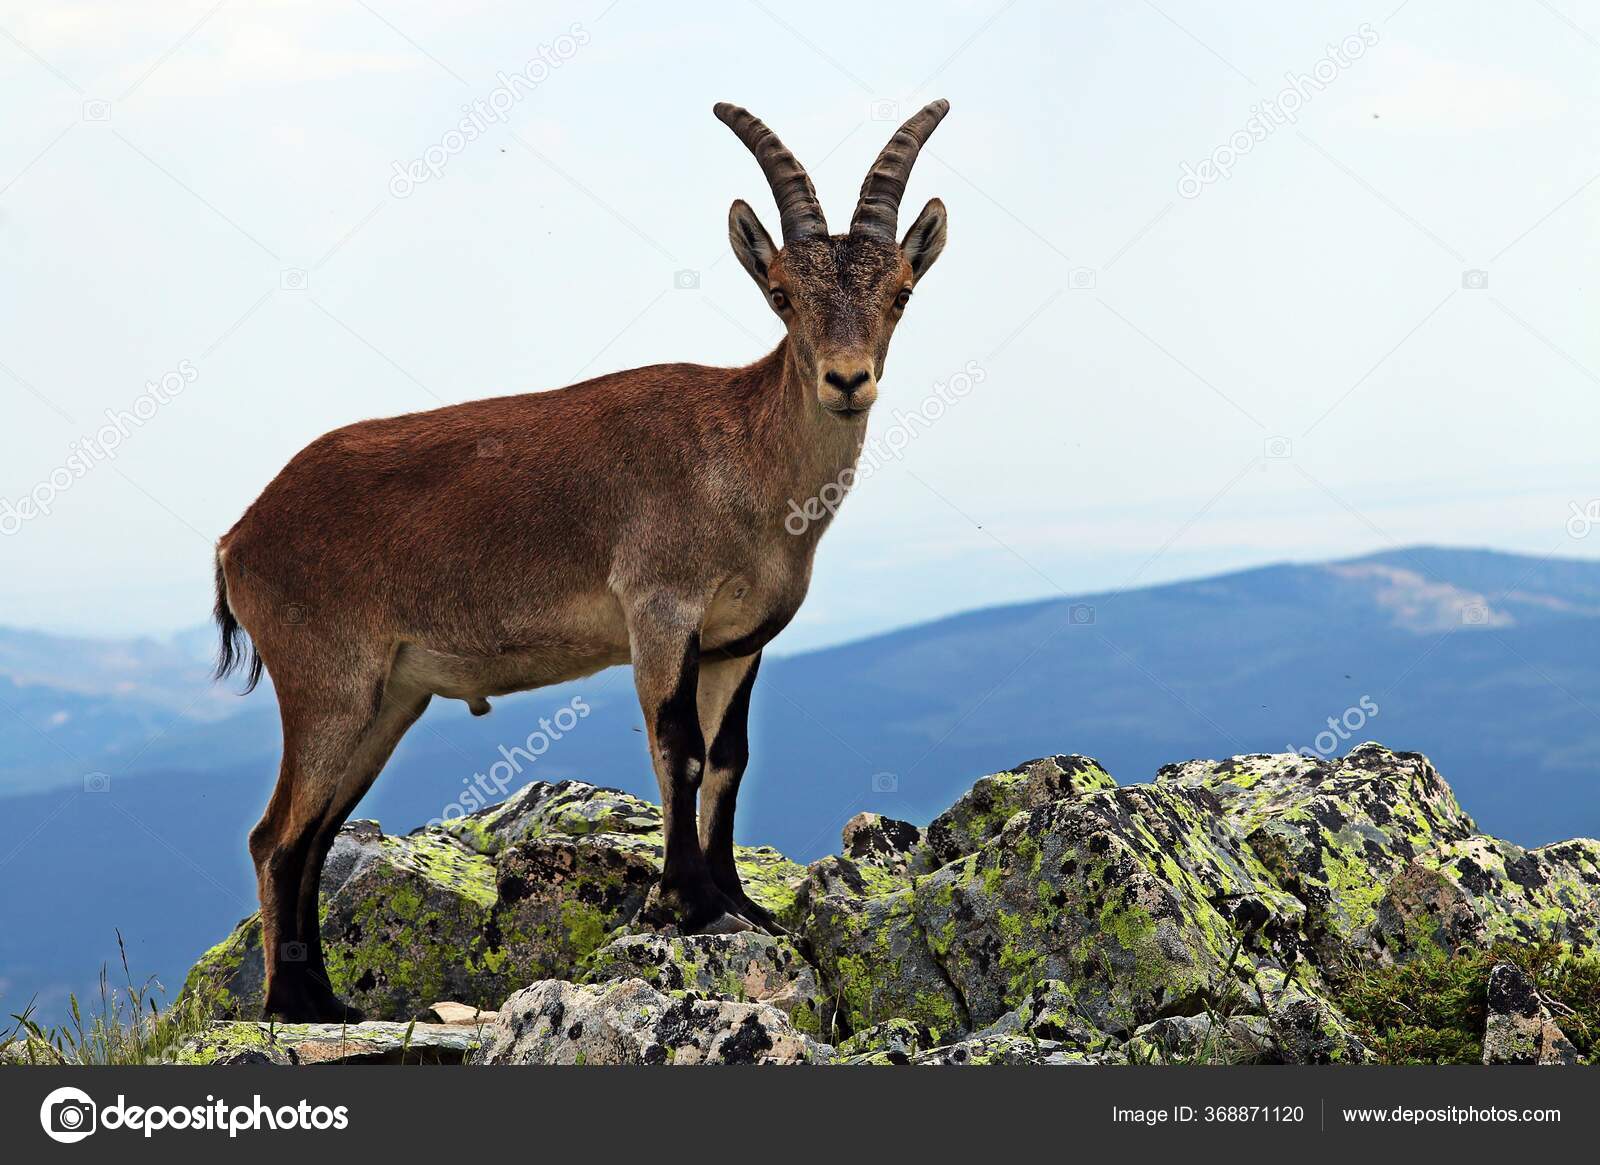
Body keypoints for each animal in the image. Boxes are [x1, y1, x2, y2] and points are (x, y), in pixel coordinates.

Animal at [214, 100, 951, 1022]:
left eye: (901, 292)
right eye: (782, 294)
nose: (846, 380)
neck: (744, 462)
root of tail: (240, 537)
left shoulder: (738, 641)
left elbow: (730, 757)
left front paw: (739, 901)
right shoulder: (661, 609)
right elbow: (679, 746)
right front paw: (687, 903)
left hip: (388, 698)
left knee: (313, 832)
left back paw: (327, 997)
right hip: (327, 680)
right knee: (273, 835)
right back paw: (292, 1003)